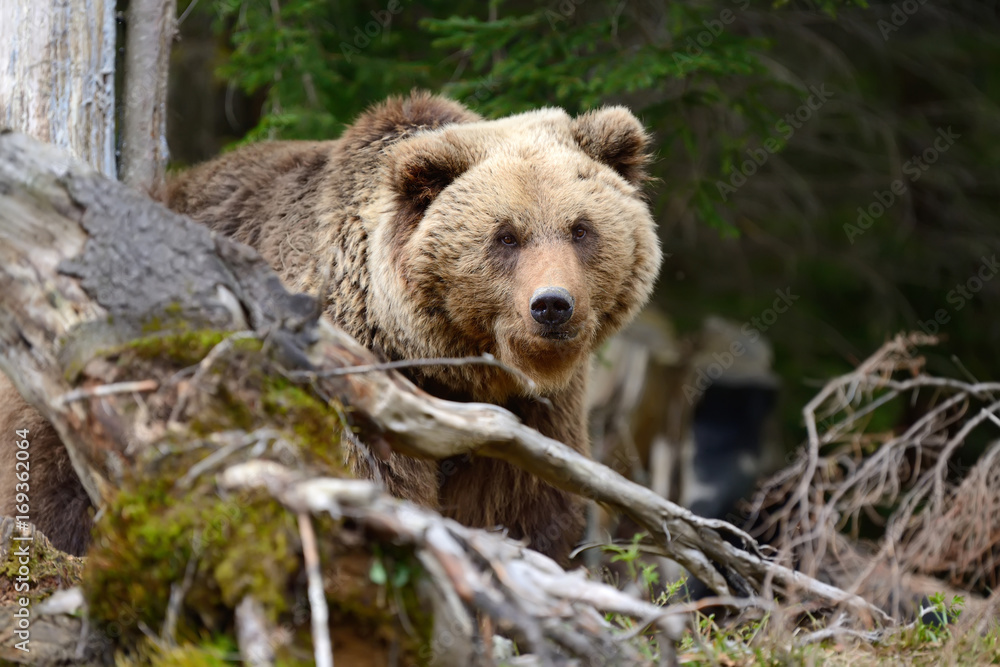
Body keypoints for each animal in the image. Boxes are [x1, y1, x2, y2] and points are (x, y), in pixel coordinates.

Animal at [0, 91, 662, 563]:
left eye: (580, 228)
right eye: (506, 236)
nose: (551, 306)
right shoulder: (351, 375)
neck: (446, 366)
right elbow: (367, 479)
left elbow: (527, 505)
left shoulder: (534, 413)